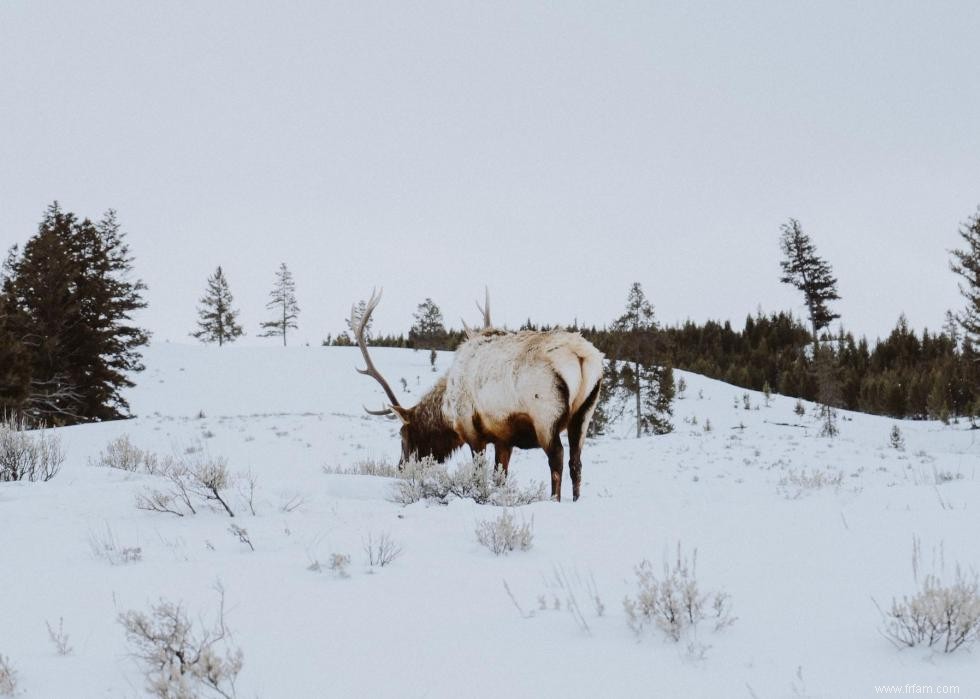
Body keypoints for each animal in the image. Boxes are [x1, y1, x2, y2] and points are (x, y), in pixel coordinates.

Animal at [352, 290, 604, 504]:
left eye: (403, 435)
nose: (401, 468)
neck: (447, 409)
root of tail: (581, 355)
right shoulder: (503, 439)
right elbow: (499, 478)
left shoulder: (472, 432)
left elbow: (478, 475)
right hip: (584, 412)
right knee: (576, 462)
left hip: (545, 414)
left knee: (557, 458)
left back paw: (553, 501)